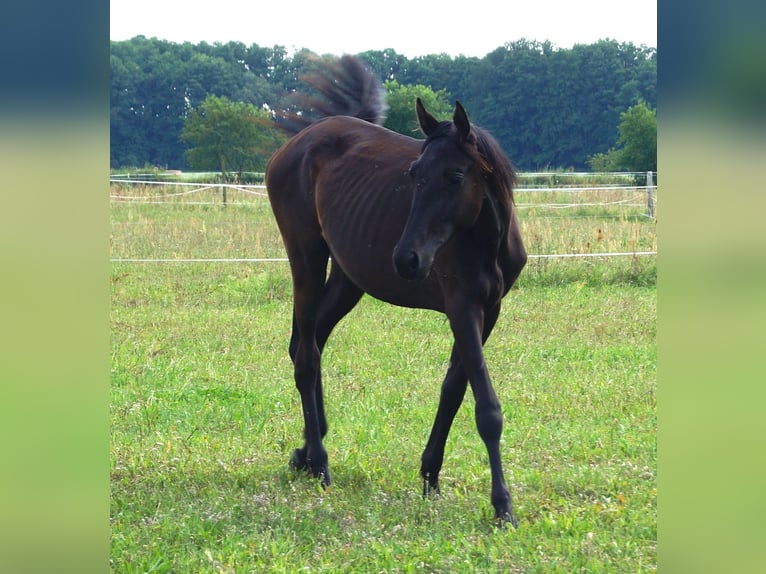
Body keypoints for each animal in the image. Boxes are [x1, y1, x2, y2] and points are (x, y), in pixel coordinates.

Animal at [266, 55, 528, 528]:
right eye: (414, 174)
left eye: (455, 175)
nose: (407, 259)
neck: (486, 239)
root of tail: (297, 143)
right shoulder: (463, 309)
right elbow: (487, 408)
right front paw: (502, 506)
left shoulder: (489, 312)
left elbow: (453, 390)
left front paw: (430, 474)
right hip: (306, 258)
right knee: (307, 357)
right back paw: (320, 462)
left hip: (347, 280)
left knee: (307, 344)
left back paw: (305, 453)